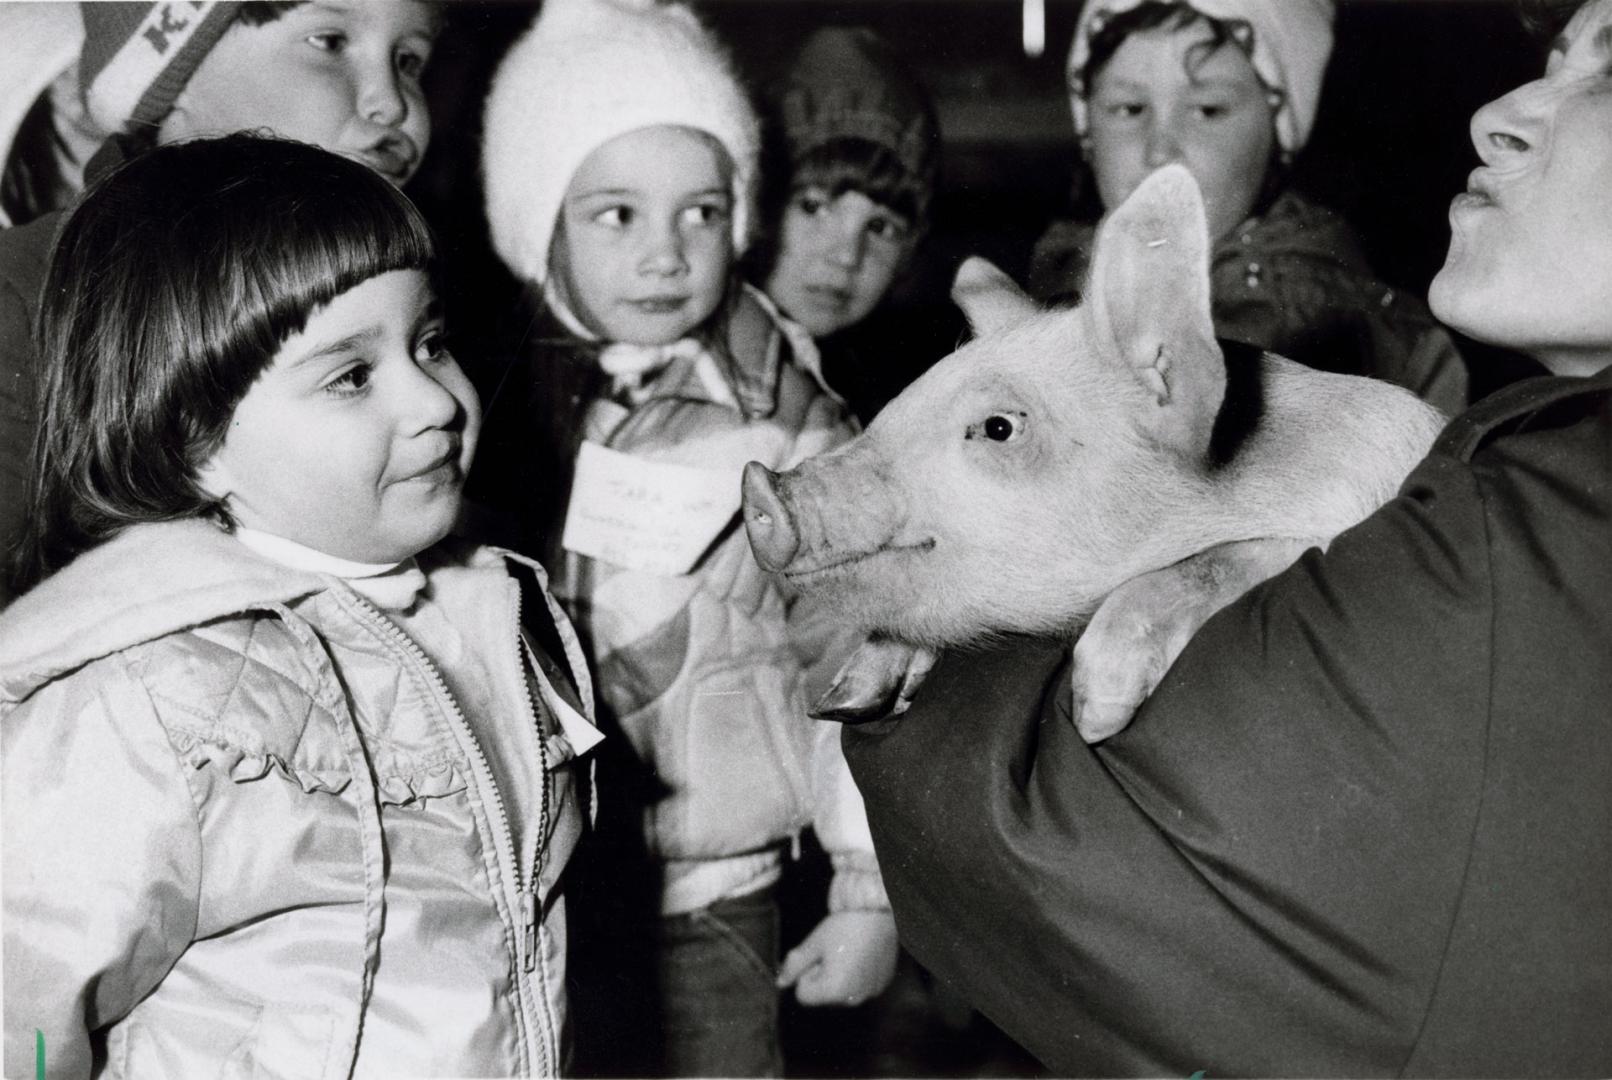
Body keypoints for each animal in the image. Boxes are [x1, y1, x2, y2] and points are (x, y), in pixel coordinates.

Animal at [838, 2, 1612, 1080]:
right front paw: (864, 676)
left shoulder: (1328, 523)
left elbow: (1213, 564)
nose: (778, 497)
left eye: (997, 428)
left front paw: (1097, 709)